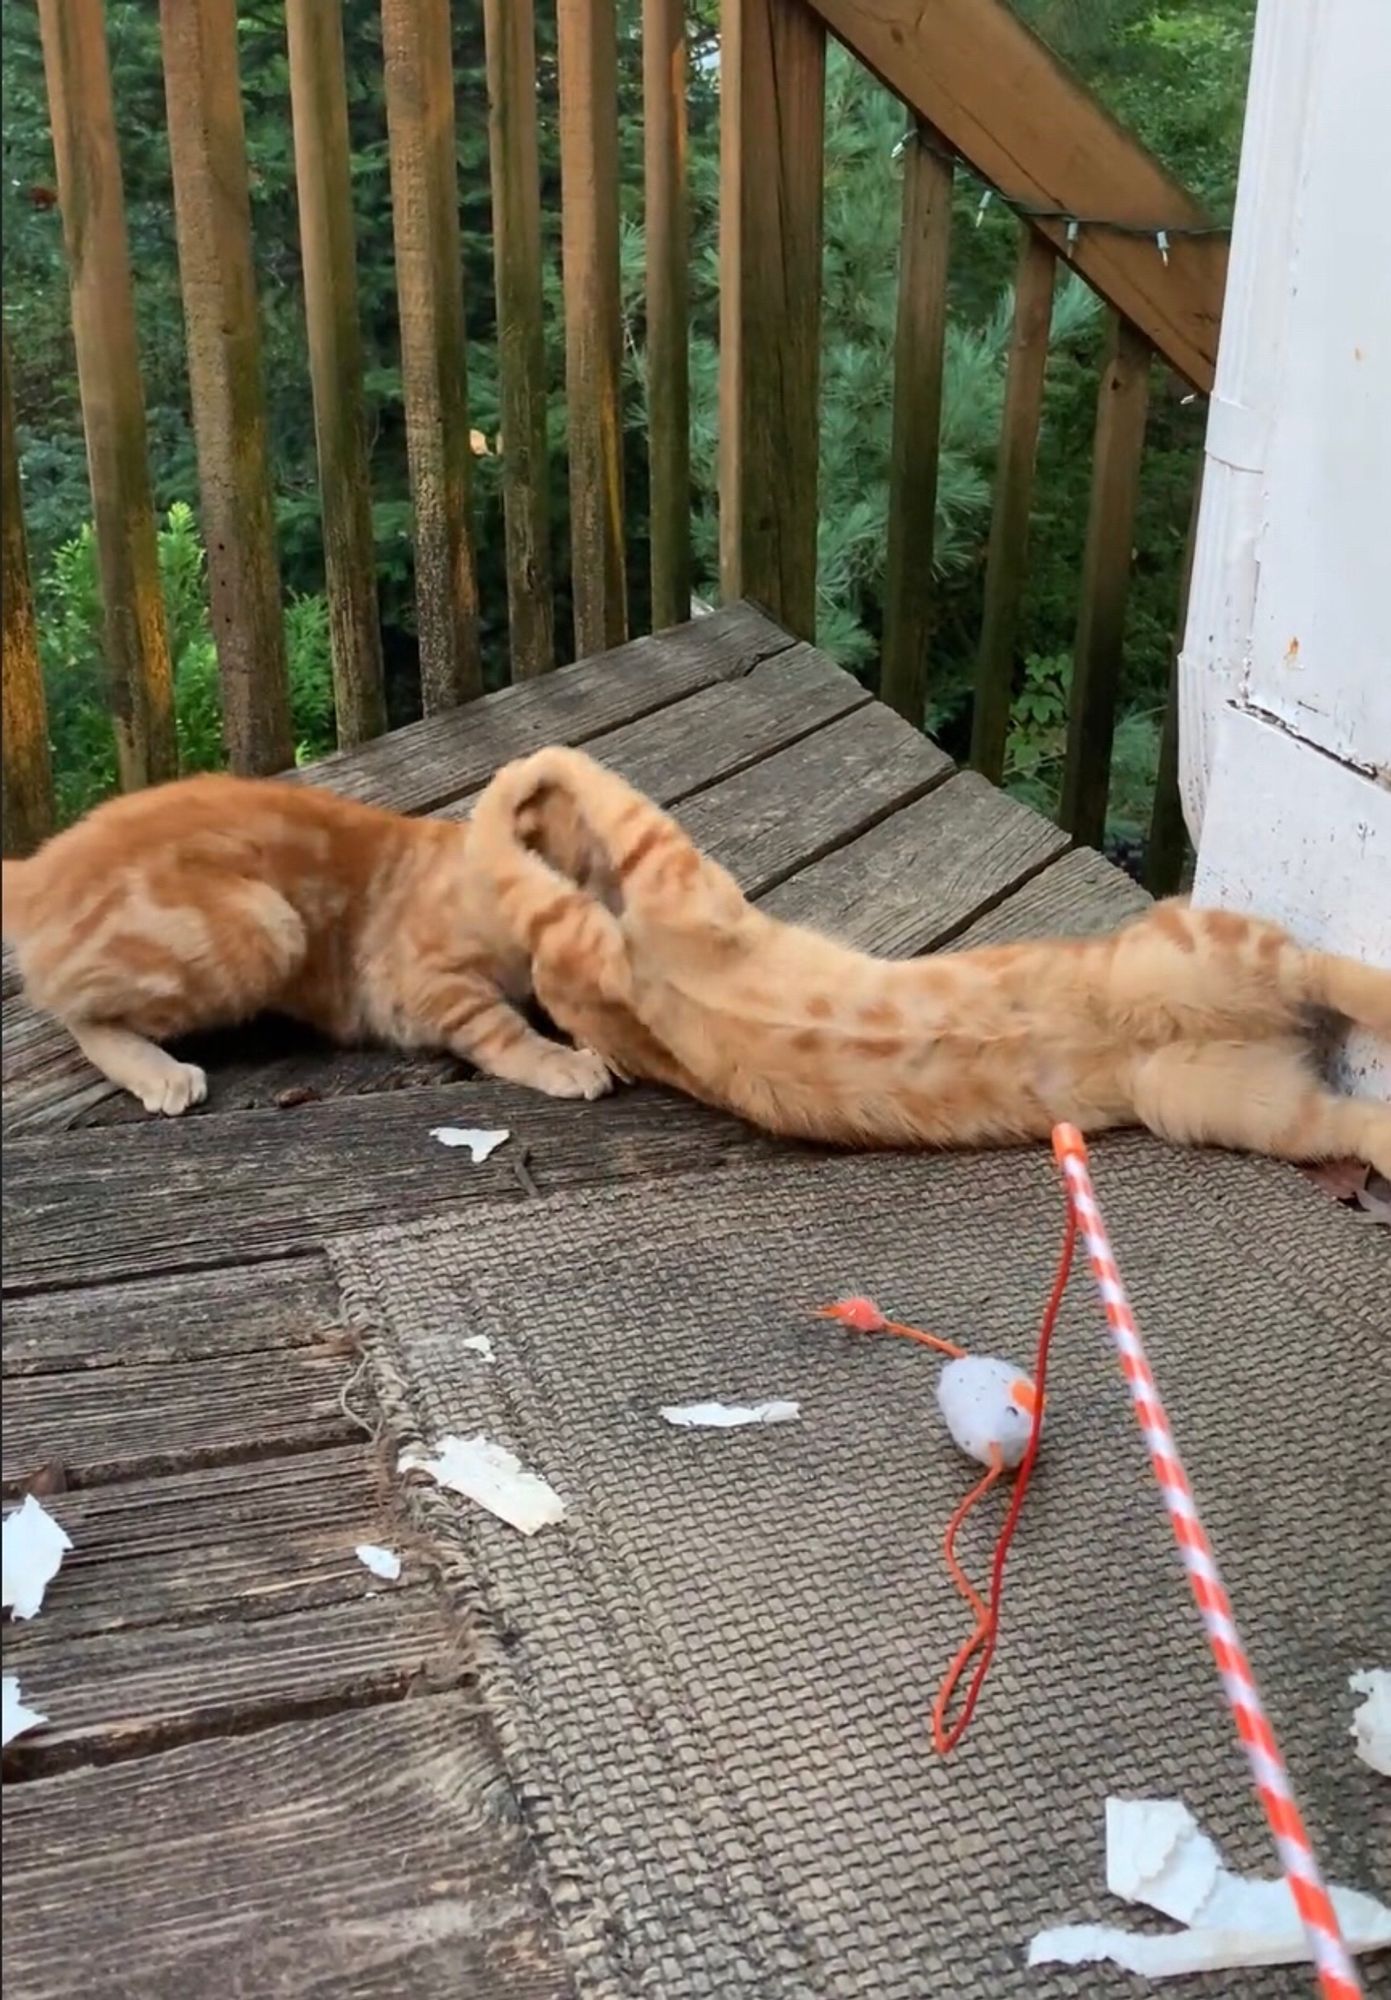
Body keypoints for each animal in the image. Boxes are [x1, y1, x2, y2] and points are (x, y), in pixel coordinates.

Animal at [1, 768, 615, 1112]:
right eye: (578, 888)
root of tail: (37, 869)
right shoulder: (429, 984)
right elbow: (505, 1030)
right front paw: (564, 1061)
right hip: (267, 928)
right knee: (79, 1014)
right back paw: (161, 1072)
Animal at [463, 748, 1391, 1176]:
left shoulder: (650, 908)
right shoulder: (663, 881)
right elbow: (574, 800)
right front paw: (522, 782)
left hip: (1222, 1084)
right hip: (1205, 1028)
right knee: (1331, 999)